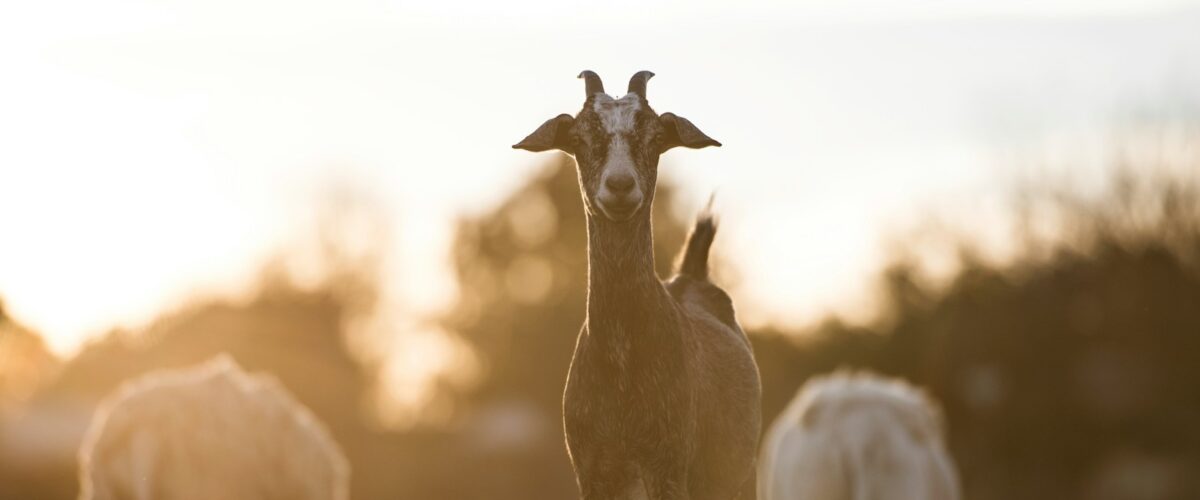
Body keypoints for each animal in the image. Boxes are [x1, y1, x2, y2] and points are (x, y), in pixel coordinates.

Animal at [513, 70, 758, 498]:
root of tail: (692, 275)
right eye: (578, 138)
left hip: (743, 476)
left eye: (656, 137)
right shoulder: (592, 471)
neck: (621, 360)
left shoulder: (669, 466)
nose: (620, 185)